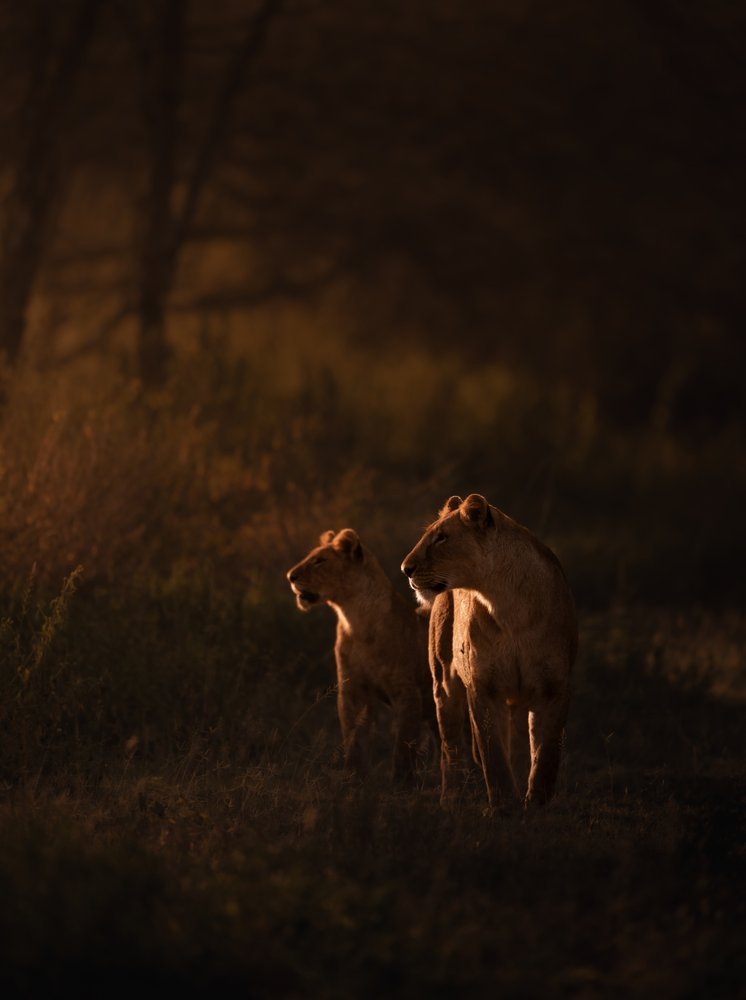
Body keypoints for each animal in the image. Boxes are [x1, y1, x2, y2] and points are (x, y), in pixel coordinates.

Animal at [287, 528, 436, 782]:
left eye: (319, 561)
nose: (290, 576)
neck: (354, 620)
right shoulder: (352, 689)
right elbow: (353, 738)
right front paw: (354, 778)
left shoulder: (408, 693)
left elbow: (403, 744)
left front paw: (401, 781)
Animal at [401, 494, 578, 811]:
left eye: (441, 537)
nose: (405, 568)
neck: (508, 606)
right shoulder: (483, 687)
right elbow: (492, 751)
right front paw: (504, 805)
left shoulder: (555, 687)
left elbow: (546, 752)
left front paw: (537, 802)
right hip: (444, 683)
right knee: (451, 746)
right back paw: (451, 798)